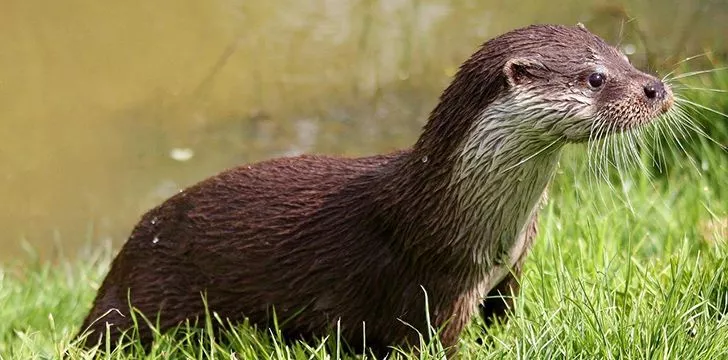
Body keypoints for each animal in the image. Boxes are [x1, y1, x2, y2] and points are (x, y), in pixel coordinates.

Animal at [74, 23, 672, 356]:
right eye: (595, 78)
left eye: (624, 55)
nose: (657, 88)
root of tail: (121, 261)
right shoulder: (435, 289)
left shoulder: (509, 274)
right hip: (145, 297)